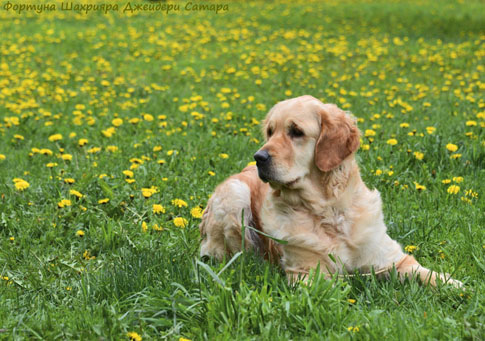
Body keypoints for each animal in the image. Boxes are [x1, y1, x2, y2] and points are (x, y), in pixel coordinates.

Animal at [199, 94, 462, 286]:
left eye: (296, 131)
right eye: (270, 132)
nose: (259, 157)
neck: (329, 211)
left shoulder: (392, 259)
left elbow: (427, 274)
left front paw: (456, 286)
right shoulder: (306, 272)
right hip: (234, 194)